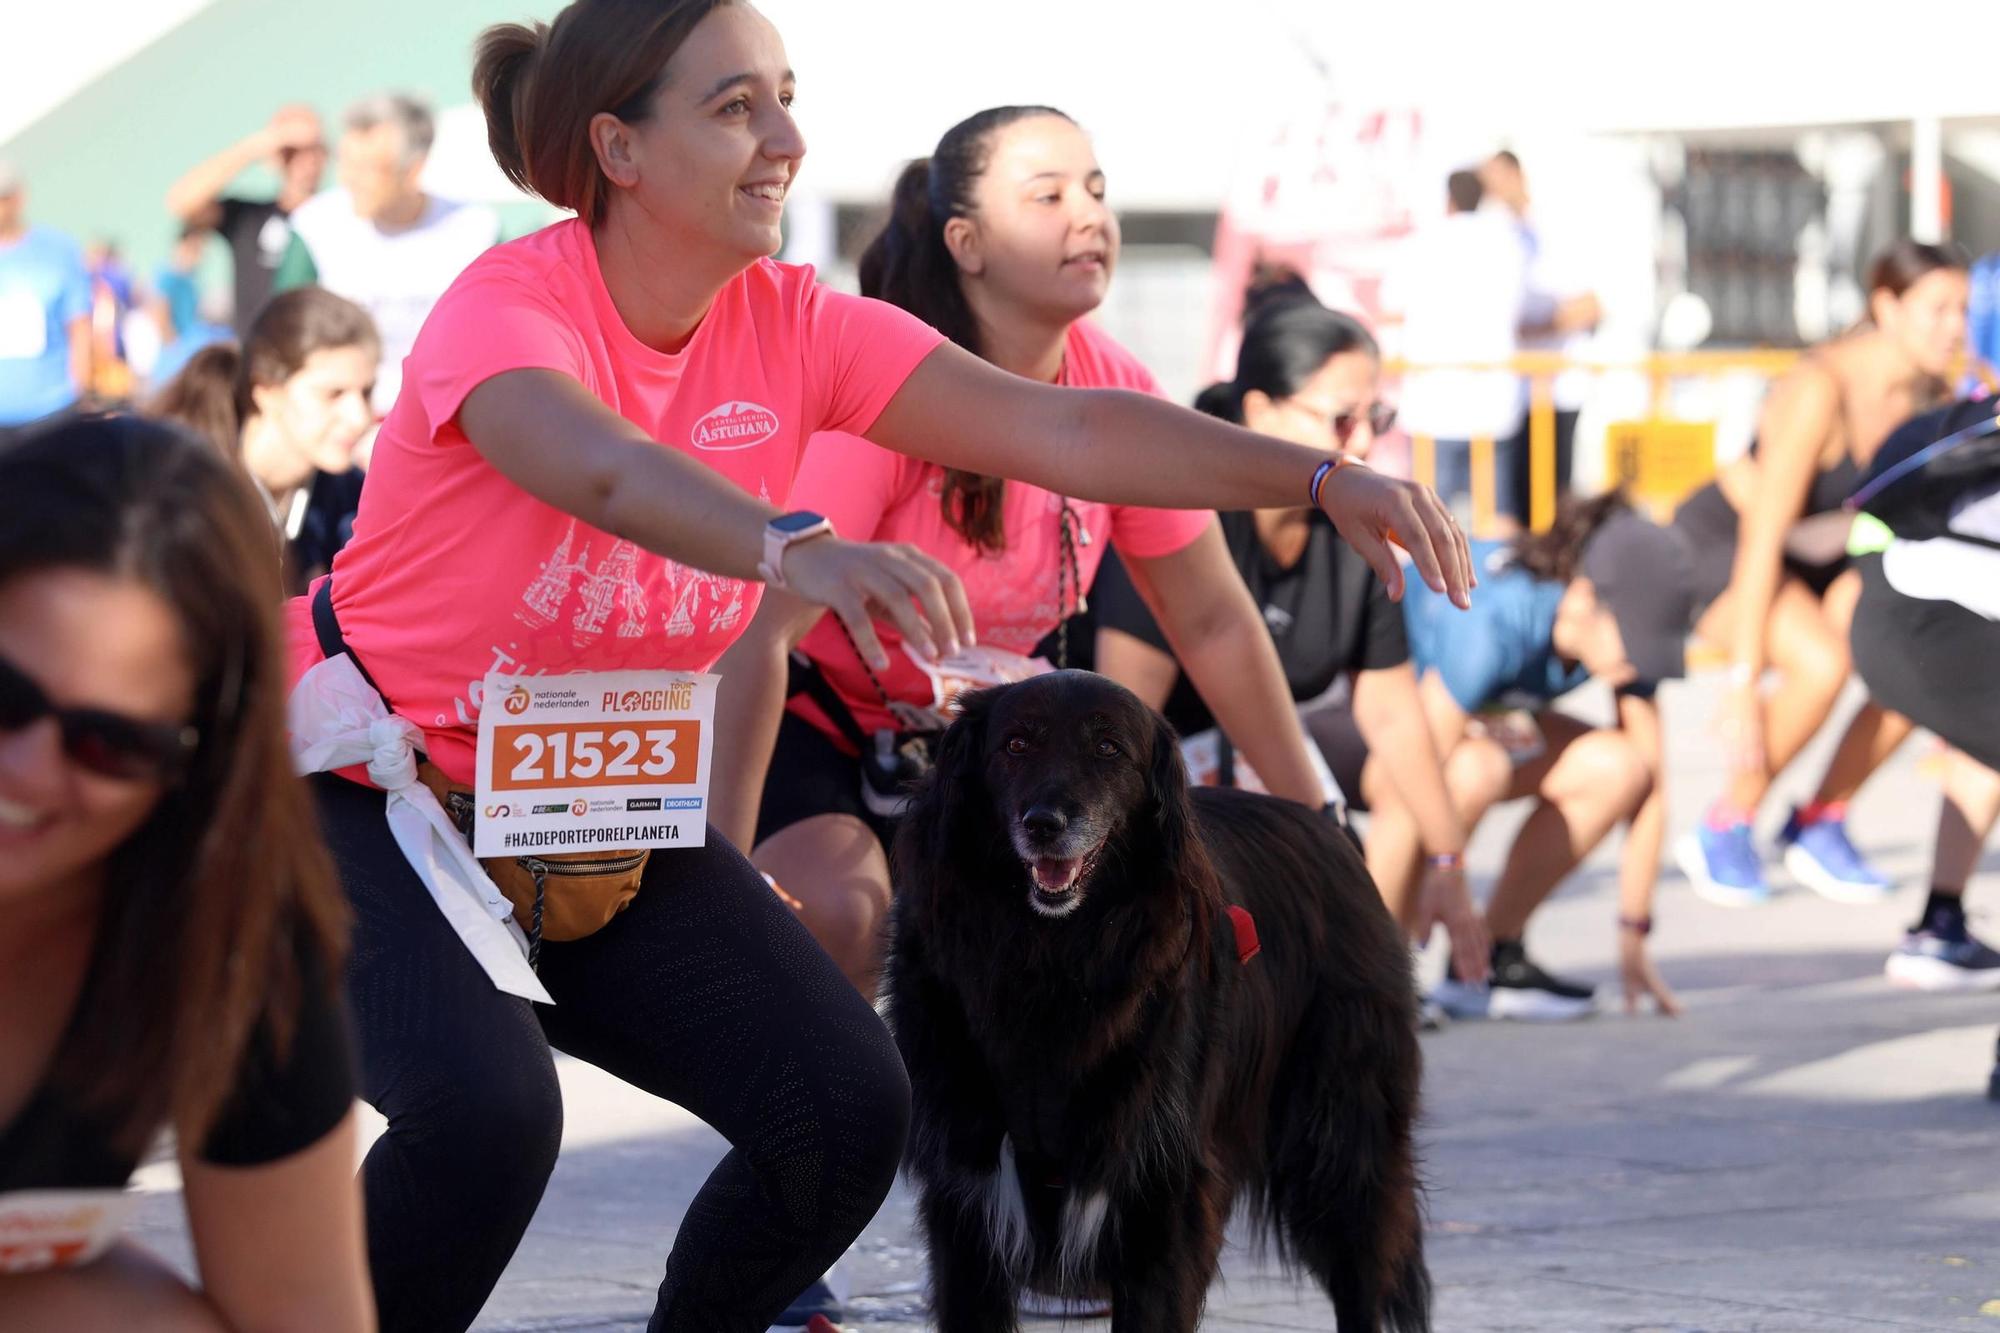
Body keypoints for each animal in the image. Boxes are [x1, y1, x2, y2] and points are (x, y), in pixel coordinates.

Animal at [884, 676, 1432, 1328]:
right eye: (1015, 744)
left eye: (1108, 748)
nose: (1044, 823)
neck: (1050, 957)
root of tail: (1334, 832)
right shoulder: (966, 1202)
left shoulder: (1161, 1201)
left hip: (1341, 1147)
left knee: (1360, 1280)